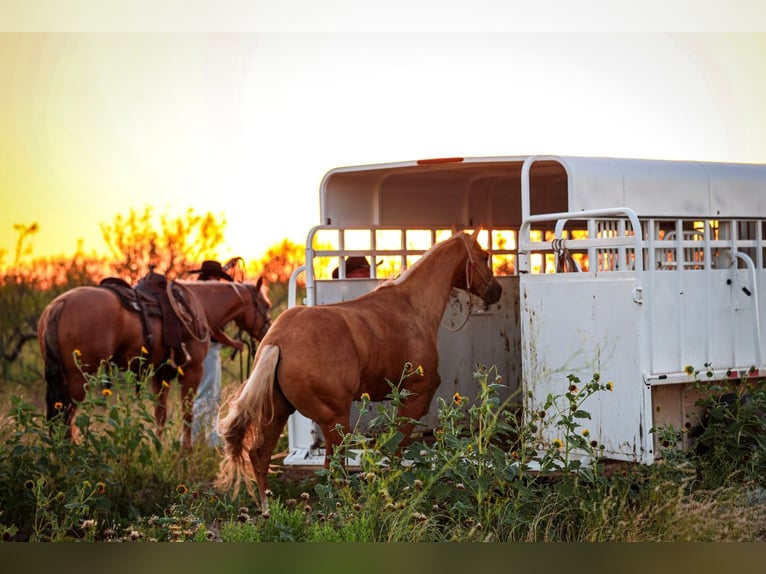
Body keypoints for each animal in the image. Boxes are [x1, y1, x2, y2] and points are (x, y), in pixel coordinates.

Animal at [37, 277, 272, 449]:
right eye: (266, 305)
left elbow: (160, 415)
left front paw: (158, 448)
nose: (268, 330)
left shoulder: (160, 376)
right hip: (78, 379)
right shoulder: (192, 371)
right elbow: (188, 412)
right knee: (65, 417)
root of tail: (59, 305)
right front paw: (186, 450)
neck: (197, 306)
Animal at [215, 230, 502, 508]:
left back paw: (267, 508)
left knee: (260, 455)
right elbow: (395, 449)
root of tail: (278, 341)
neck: (411, 306)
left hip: (277, 414)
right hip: (334, 420)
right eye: (485, 256)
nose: (496, 291)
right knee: (332, 467)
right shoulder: (416, 397)